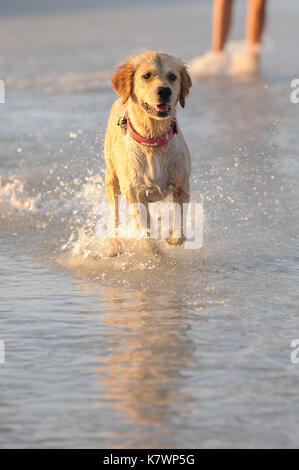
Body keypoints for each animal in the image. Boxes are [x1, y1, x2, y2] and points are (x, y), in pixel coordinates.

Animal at [105, 50, 192, 258]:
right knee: (114, 213)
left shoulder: (182, 185)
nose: (165, 91)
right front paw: (155, 255)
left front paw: (171, 236)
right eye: (146, 76)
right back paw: (114, 245)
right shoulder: (135, 194)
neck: (153, 140)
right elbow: (146, 236)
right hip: (111, 178)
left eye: (172, 76)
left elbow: (180, 227)